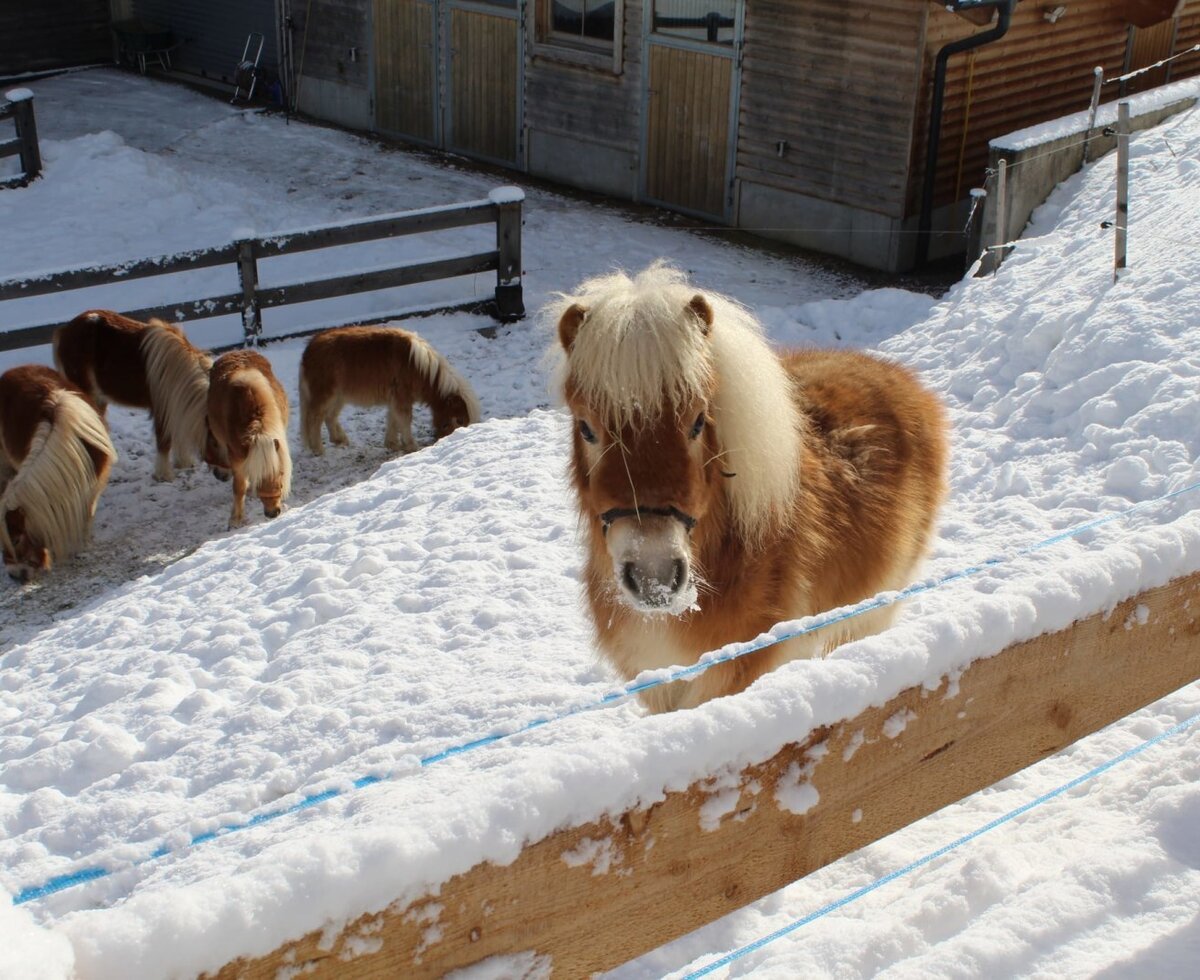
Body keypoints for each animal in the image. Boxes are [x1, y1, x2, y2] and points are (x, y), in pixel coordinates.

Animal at [0, 365, 118, 581]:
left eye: (17, 538)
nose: (15, 575)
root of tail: (14, 370)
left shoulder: (93, 487)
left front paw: (81, 546)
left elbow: (86, 514)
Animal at [53, 309, 212, 482]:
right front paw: (164, 474)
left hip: (98, 398)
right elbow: (164, 440)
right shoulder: (162, 407)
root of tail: (66, 330)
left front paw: (184, 463)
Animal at [204, 349, 292, 527]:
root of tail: (234, 351)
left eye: (280, 474)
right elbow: (239, 488)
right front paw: (235, 520)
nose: (273, 513)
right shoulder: (236, 458)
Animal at [298, 325, 481, 456]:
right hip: (326, 396)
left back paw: (340, 440)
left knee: (329, 417)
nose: (444, 442)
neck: (417, 367)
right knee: (314, 418)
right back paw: (318, 449)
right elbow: (404, 419)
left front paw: (393, 444)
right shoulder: (402, 397)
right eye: (456, 421)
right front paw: (411, 446)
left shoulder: (396, 398)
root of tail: (310, 347)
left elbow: (393, 419)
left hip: (339, 397)